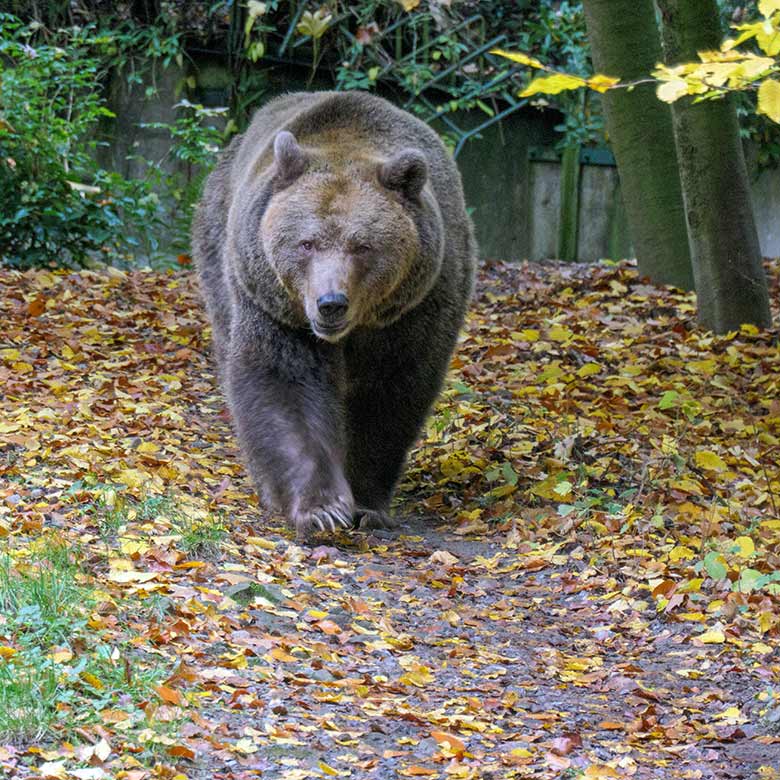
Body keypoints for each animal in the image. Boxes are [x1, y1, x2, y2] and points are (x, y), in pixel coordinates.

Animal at [192, 91, 478, 540]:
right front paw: (321, 508)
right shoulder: (278, 308)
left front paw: (365, 503)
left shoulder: (415, 309)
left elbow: (388, 395)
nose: (330, 302)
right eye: (306, 243)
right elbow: (284, 382)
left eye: (362, 245)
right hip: (221, 250)